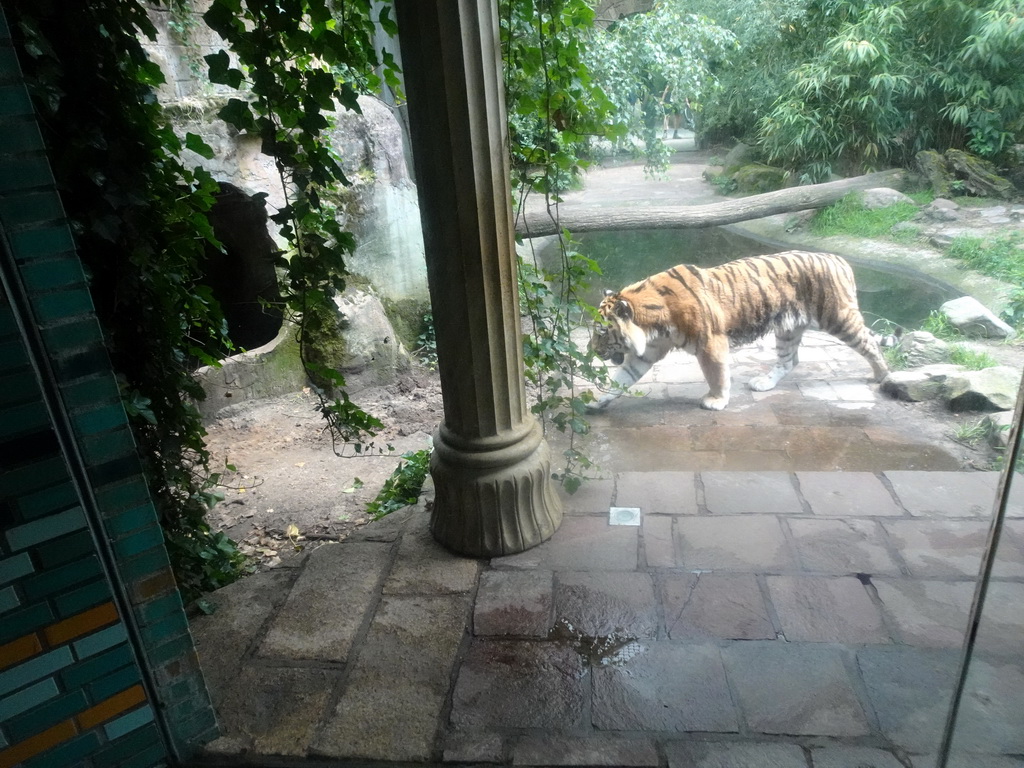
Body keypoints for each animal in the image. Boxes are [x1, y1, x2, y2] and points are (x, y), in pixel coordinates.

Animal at [589, 250, 892, 409]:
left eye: (602, 333)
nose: (591, 350)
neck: (652, 324)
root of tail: (840, 259)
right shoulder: (646, 352)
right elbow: (622, 377)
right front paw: (597, 401)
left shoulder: (711, 342)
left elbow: (716, 374)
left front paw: (716, 400)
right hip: (789, 328)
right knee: (790, 360)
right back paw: (764, 383)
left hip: (838, 317)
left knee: (869, 342)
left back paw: (882, 376)